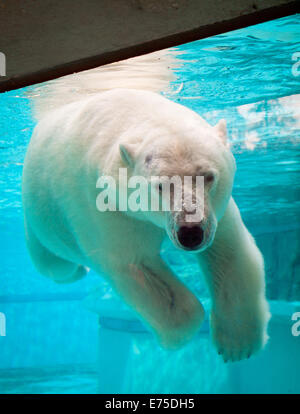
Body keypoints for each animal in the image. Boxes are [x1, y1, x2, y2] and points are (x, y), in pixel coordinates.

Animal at [22, 51, 270, 362]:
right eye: (161, 185)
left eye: (209, 176)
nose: (190, 233)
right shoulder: (102, 203)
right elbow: (134, 262)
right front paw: (182, 332)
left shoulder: (218, 210)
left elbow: (229, 251)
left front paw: (238, 344)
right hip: (39, 218)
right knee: (52, 263)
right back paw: (78, 270)